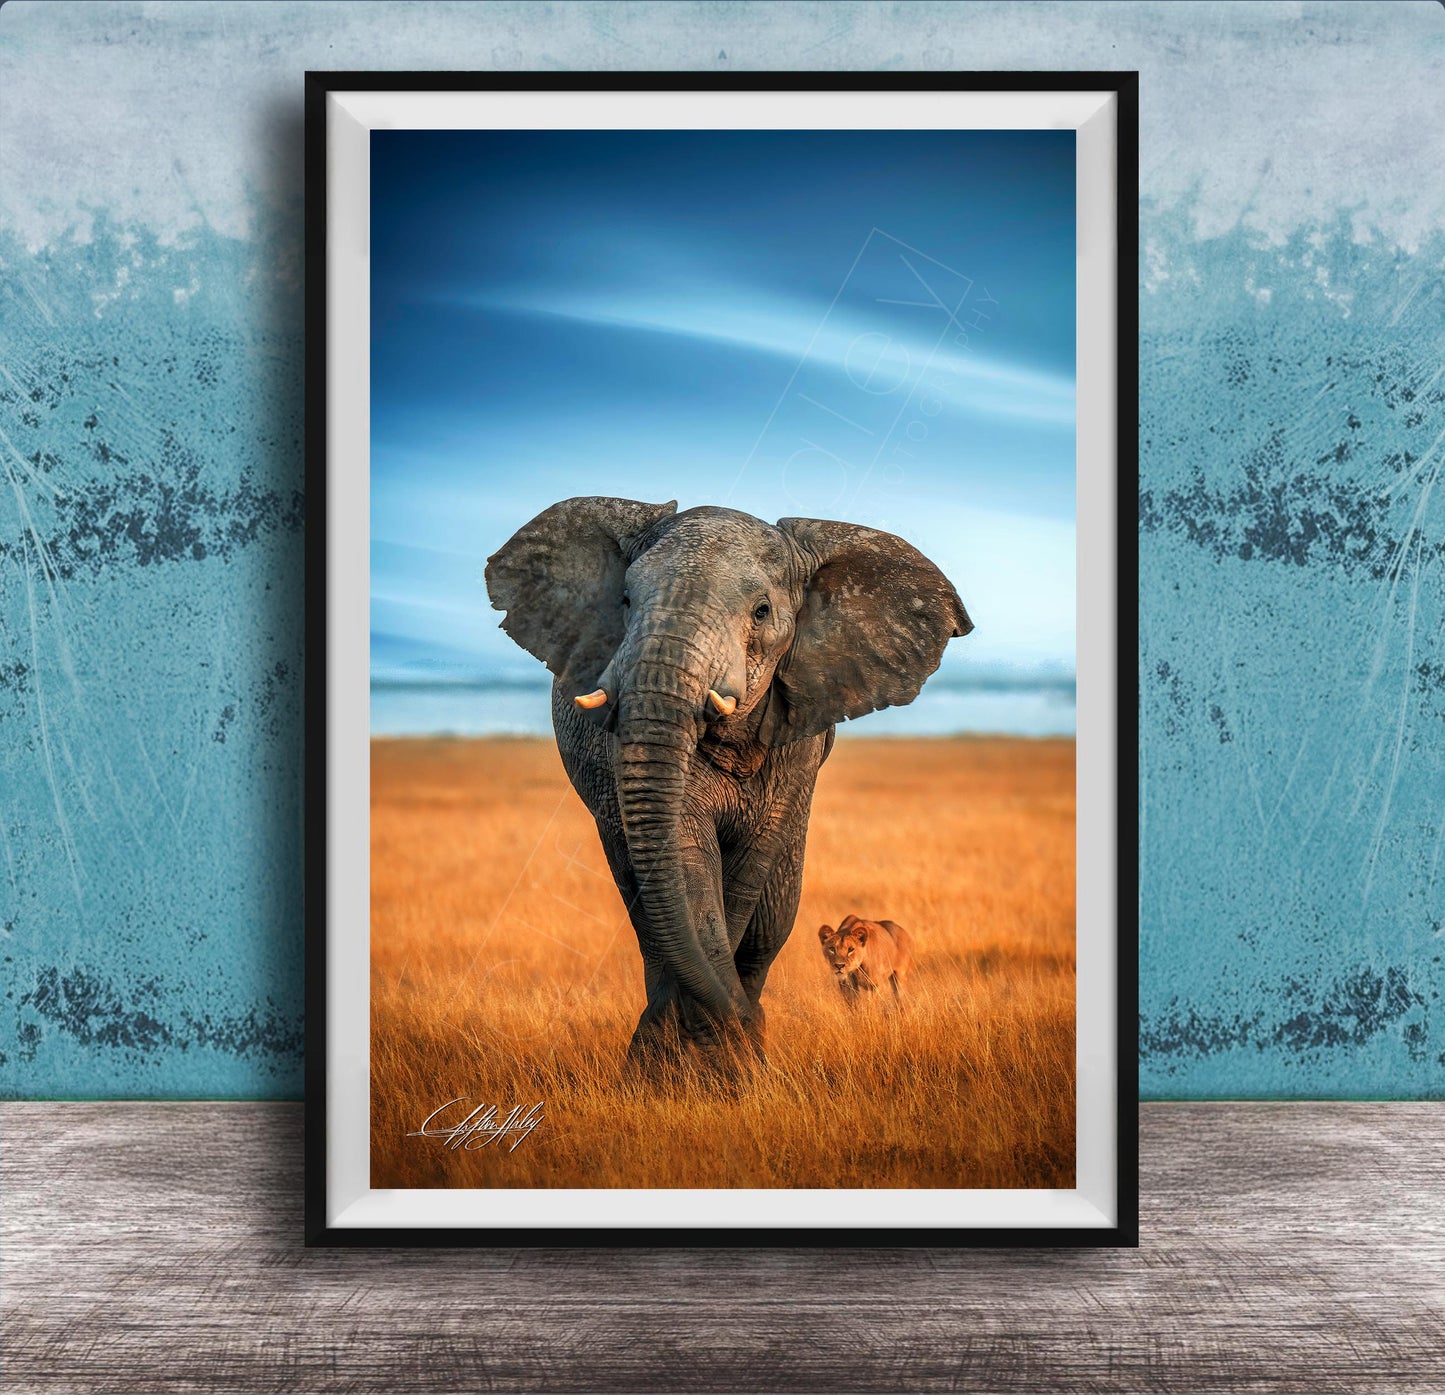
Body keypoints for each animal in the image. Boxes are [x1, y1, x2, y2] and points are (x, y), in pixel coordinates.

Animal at [485, 497, 972, 1071]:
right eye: (625, 600)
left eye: (761, 611)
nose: (747, 1025)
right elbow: (689, 861)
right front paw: (693, 1062)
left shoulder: (796, 743)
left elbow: (746, 872)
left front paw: (727, 1060)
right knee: (643, 908)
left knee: (772, 920)